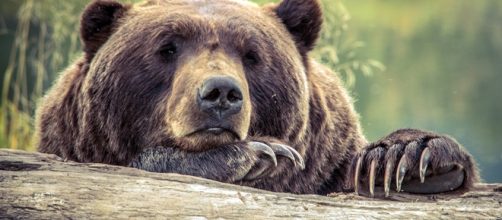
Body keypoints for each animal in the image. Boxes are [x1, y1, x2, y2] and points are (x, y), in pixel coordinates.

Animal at [34, 0, 478, 196]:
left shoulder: (325, 162)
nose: (220, 93)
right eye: (167, 47)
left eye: (252, 54)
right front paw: (259, 154)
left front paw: (406, 158)